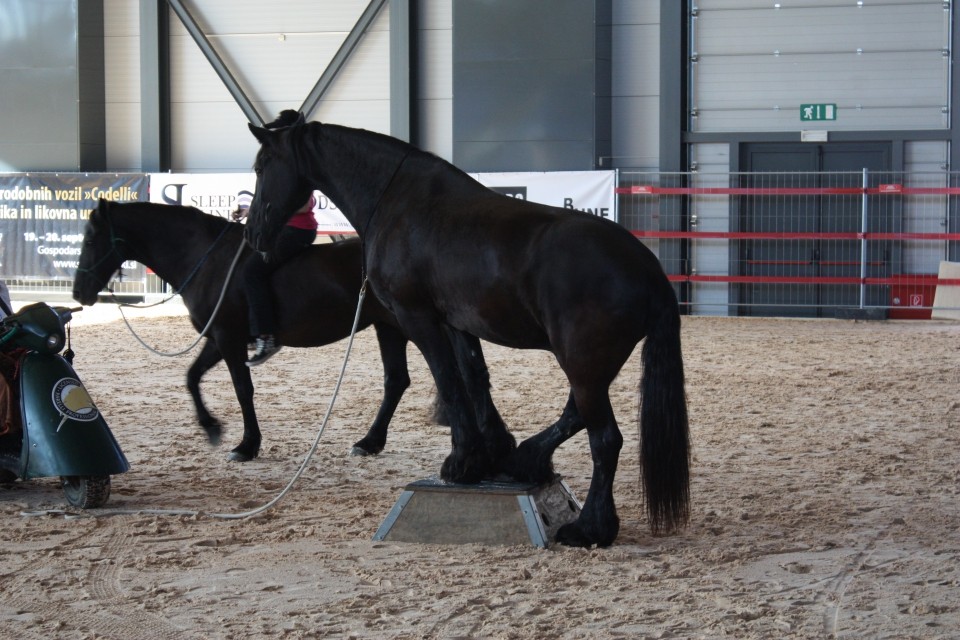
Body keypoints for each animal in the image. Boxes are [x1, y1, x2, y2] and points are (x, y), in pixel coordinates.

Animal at [73, 199, 502, 460]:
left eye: (91, 237)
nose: (79, 292)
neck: (207, 259)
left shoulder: (228, 339)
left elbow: (242, 389)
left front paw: (247, 445)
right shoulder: (220, 338)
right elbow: (191, 377)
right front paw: (211, 428)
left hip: (408, 325)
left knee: (445, 374)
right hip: (388, 327)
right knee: (398, 380)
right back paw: (370, 442)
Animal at [244, 111, 688, 544]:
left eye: (262, 166)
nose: (252, 234)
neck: (400, 202)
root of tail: (647, 269)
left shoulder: (416, 317)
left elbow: (448, 380)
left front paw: (460, 460)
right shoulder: (457, 322)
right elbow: (475, 379)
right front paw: (489, 453)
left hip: (582, 365)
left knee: (605, 438)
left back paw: (589, 528)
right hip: (590, 368)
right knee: (575, 415)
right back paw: (525, 460)